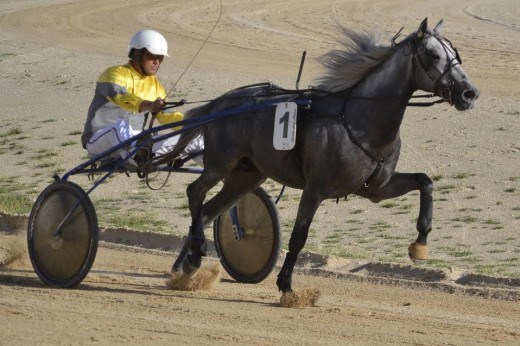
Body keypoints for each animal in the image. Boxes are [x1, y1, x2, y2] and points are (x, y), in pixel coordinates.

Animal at [169, 18, 478, 294]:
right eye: (434, 55)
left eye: (455, 54)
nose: (469, 93)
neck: (360, 120)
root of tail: (222, 101)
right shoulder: (315, 188)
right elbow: (299, 236)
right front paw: (286, 285)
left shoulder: (377, 188)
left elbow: (425, 182)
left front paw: (420, 244)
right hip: (221, 164)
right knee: (195, 193)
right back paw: (195, 253)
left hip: (246, 176)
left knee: (208, 211)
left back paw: (187, 264)